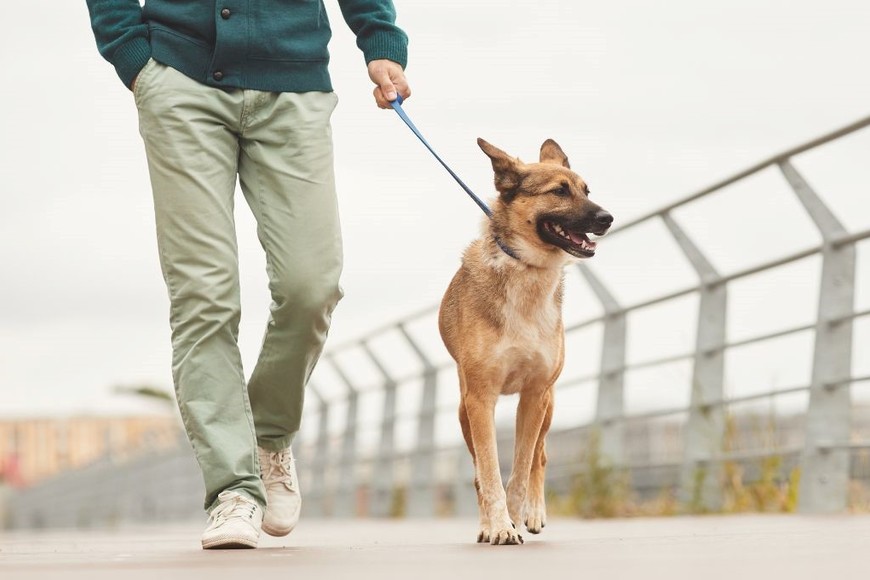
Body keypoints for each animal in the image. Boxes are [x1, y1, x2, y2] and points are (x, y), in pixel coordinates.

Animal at [436, 138, 612, 548]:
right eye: (559, 191)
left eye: (586, 190)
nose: (607, 218)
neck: (528, 271)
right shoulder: (480, 400)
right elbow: (488, 472)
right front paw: (498, 525)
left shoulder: (535, 394)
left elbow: (521, 468)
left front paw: (516, 519)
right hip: (464, 412)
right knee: (479, 472)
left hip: (548, 406)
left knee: (540, 457)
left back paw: (533, 513)